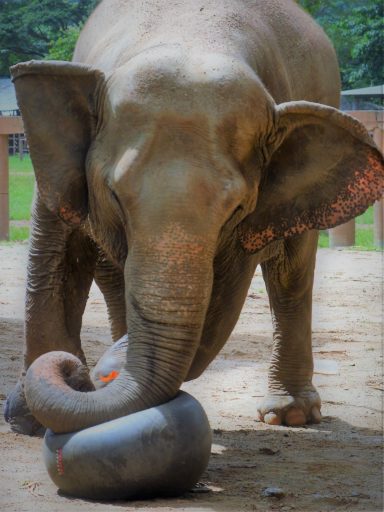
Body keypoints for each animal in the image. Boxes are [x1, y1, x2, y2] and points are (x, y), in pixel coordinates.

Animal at [3, 1, 384, 440]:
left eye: (236, 208)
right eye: (114, 195)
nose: (86, 374)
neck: (191, 35)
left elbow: (221, 300)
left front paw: (105, 370)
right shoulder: (59, 167)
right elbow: (55, 260)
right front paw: (29, 419)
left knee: (293, 272)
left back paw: (290, 415)